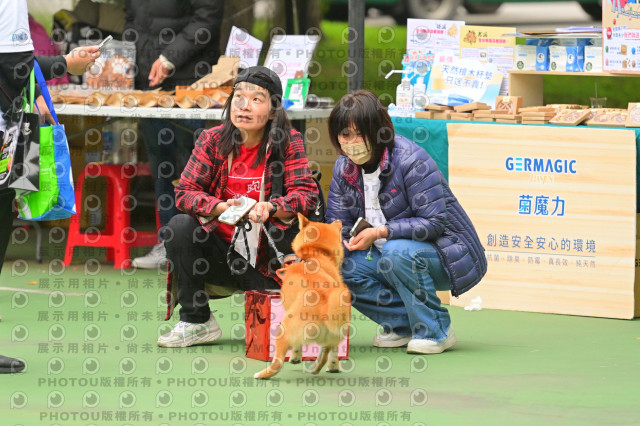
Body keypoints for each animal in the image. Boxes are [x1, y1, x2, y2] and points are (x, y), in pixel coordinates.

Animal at [254, 214, 350, 379]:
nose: (339, 220)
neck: (316, 253)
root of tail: (323, 305)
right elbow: (333, 354)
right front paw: (333, 366)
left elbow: (296, 347)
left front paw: (295, 357)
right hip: (333, 334)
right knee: (324, 354)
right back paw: (315, 368)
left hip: (283, 331)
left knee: (278, 363)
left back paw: (261, 374)